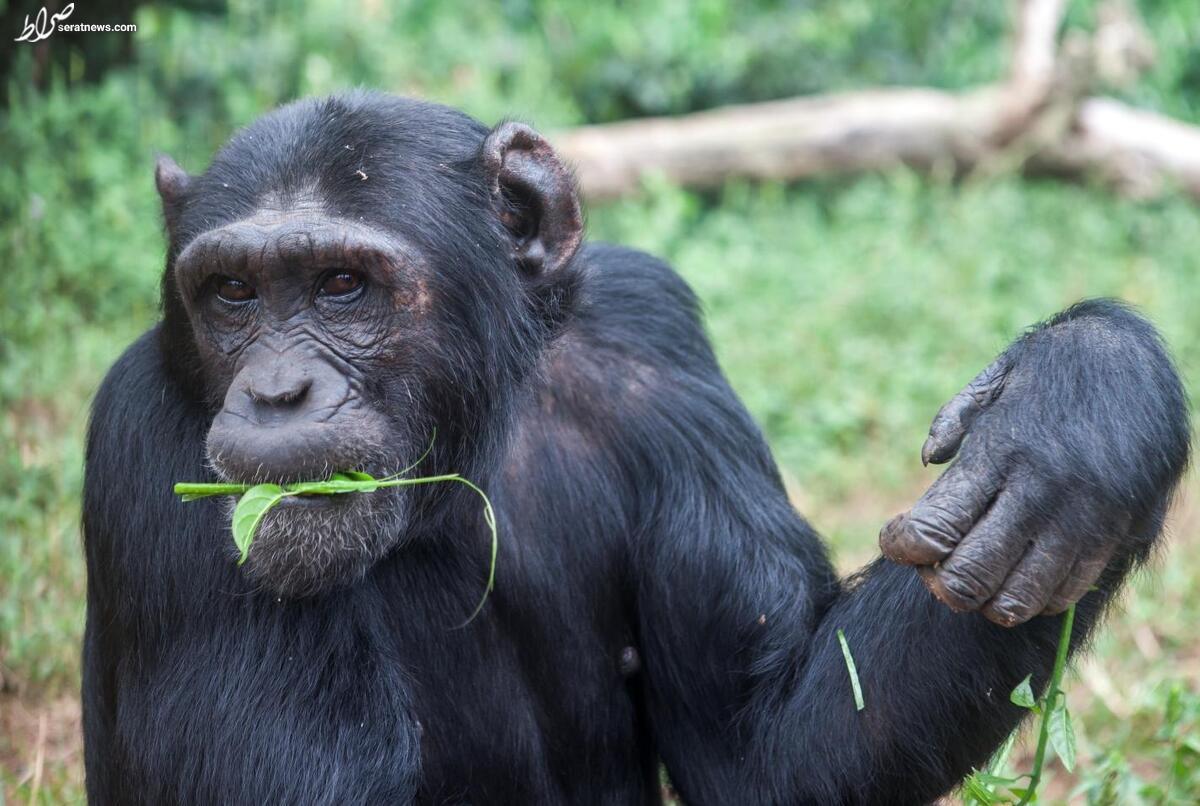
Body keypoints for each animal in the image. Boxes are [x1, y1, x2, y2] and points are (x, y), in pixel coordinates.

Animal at [84, 91, 1190, 801]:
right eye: (233, 294)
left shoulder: (660, 343)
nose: (276, 390)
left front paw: (1081, 406)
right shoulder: (149, 438)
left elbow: (772, 749)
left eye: (342, 286)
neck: (476, 433)